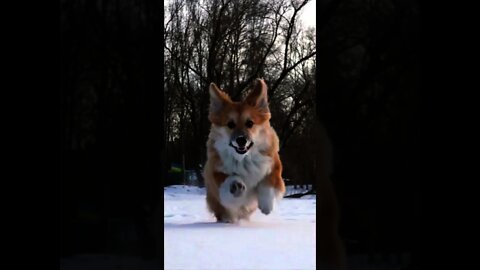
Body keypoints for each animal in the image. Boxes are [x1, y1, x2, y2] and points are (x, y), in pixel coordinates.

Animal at [203, 79, 284, 223]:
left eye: (250, 123)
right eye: (230, 124)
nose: (241, 140)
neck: (244, 159)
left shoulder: (274, 163)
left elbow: (269, 181)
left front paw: (266, 205)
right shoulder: (214, 170)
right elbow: (225, 180)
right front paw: (235, 185)